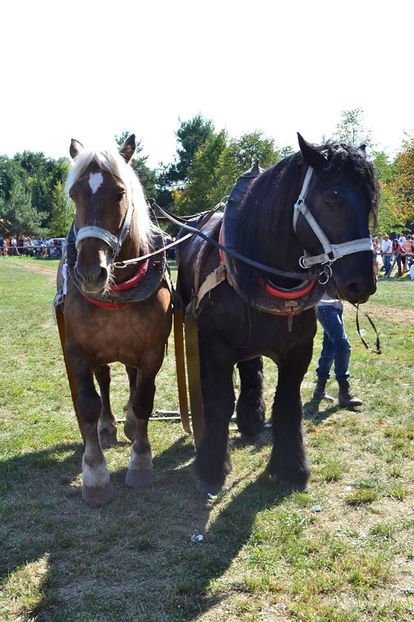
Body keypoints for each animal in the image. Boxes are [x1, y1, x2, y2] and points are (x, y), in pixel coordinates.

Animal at [55, 136, 171, 508]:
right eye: (74, 193)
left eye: (119, 193)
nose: (91, 273)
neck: (117, 293)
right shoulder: (78, 352)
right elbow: (89, 405)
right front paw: (95, 474)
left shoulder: (151, 352)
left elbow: (144, 399)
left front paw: (141, 461)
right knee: (104, 381)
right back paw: (108, 427)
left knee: (132, 381)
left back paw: (131, 423)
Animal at [178, 134, 378, 494]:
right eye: (332, 196)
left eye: (370, 202)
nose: (362, 283)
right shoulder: (216, 347)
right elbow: (219, 401)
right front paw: (211, 468)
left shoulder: (298, 350)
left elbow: (287, 402)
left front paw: (291, 467)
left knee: (251, 370)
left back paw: (251, 420)